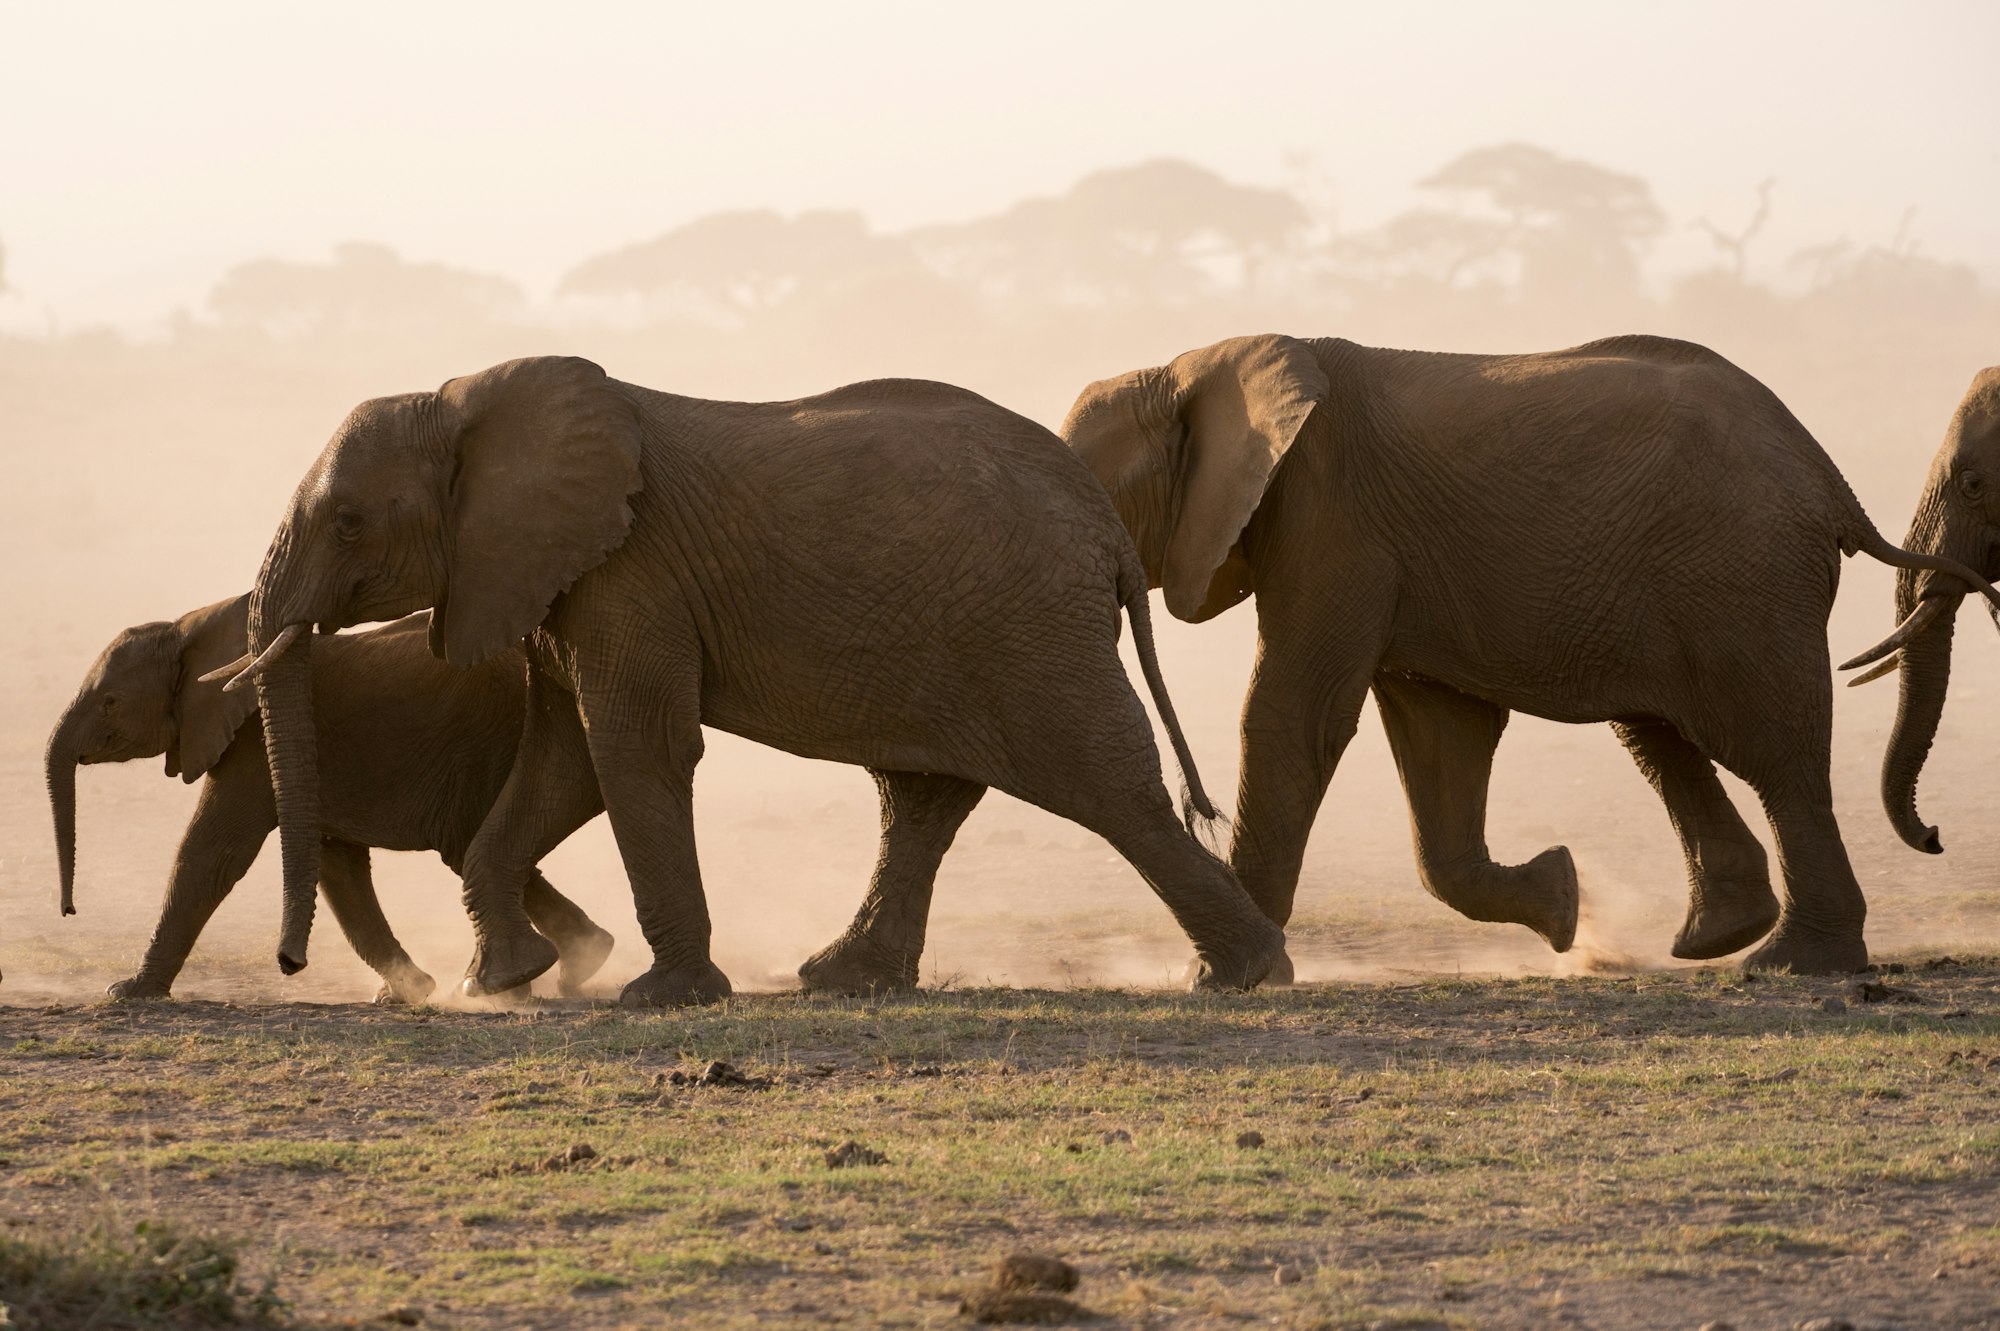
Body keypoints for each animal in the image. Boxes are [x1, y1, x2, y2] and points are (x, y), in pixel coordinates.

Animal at [43, 591, 612, 995]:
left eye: (110, 702)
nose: (68, 911)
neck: (192, 627)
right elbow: (337, 866)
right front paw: (407, 993)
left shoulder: (251, 739)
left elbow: (213, 850)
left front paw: (128, 992)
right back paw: (582, 963)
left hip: (490, 740)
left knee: (465, 844)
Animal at [219, 357, 1280, 999]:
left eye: (350, 522)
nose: (288, 961)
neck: (467, 400)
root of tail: (1105, 525)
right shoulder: (559, 582)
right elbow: (565, 762)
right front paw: (509, 980)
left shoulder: (625, 571)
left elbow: (631, 747)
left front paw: (662, 998)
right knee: (922, 797)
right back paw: (842, 978)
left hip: (1033, 628)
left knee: (1111, 790)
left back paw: (1245, 976)